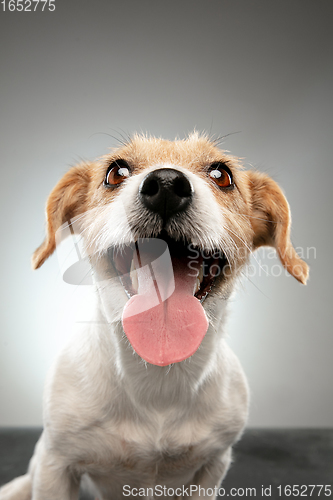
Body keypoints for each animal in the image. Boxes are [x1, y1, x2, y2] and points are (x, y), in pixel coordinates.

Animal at [0, 134, 306, 500]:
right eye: (115, 173)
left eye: (222, 175)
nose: (166, 185)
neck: (158, 376)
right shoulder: (57, 463)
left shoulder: (212, 466)